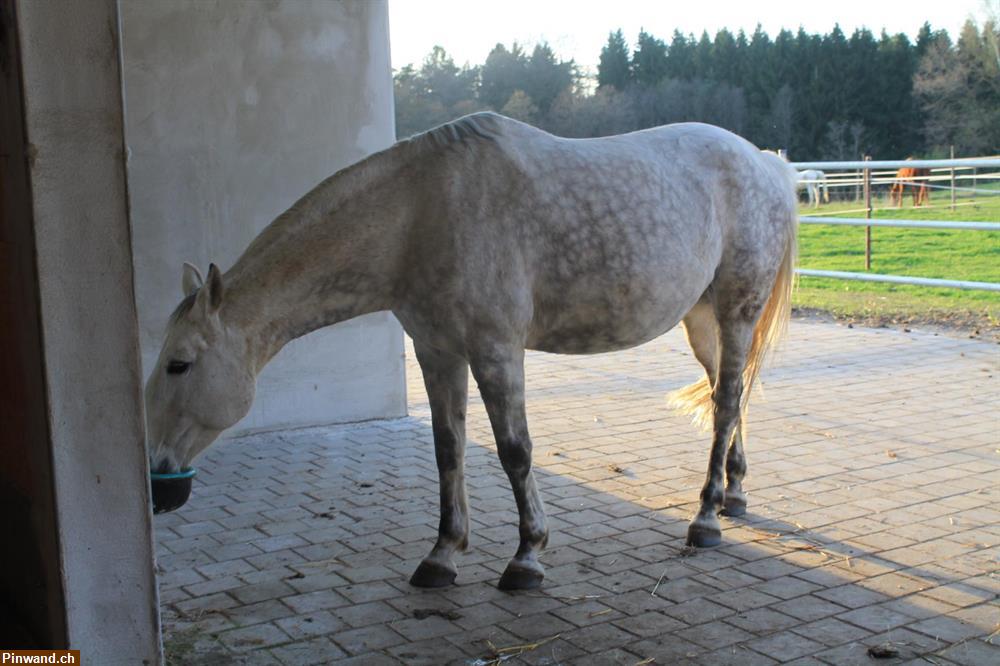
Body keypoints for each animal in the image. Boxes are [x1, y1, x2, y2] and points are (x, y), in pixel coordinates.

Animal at [146, 111, 796, 588]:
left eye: (180, 364)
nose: (160, 487)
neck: (420, 213)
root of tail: (765, 162)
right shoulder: (437, 351)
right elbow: (448, 450)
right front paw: (443, 554)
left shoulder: (495, 350)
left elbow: (514, 452)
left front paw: (527, 557)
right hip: (703, 321)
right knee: (728, 397)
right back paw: (734, 494)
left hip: (736, 312)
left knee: (728, 402)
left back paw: (706, 518)